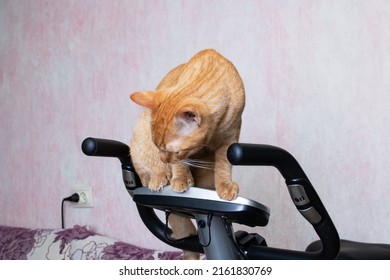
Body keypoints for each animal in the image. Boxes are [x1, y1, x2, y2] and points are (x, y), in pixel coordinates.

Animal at [129, 48, 245, 260]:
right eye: (159, 147)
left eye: (170, 150)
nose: (162, 158)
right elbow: (179, 166)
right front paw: (180, 179)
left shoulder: (230, 139)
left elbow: (224, 166)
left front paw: (224, 186)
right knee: (146, 174)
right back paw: (161, 177)